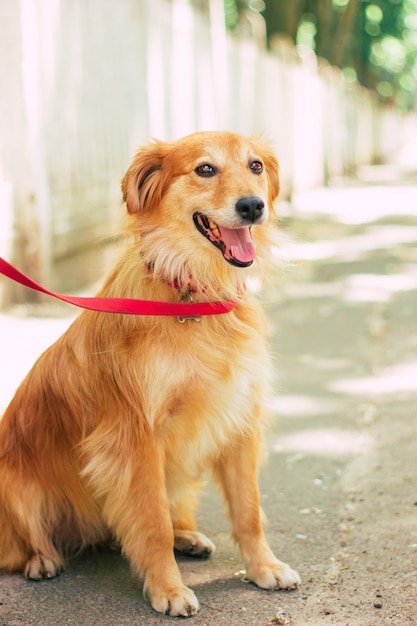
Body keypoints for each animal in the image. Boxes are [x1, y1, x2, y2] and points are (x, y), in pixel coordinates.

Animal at [0, 130, 300, 616]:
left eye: (255, 166)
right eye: (205, 169)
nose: (254, 206)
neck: (194, 296)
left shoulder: (239, 420)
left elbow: (248, 511)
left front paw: (263, 568)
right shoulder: (135, 438)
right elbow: (152, 523)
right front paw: (168, 590)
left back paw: (188, 537)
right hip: (14, 484)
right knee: (21, 541)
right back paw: (40, 559)